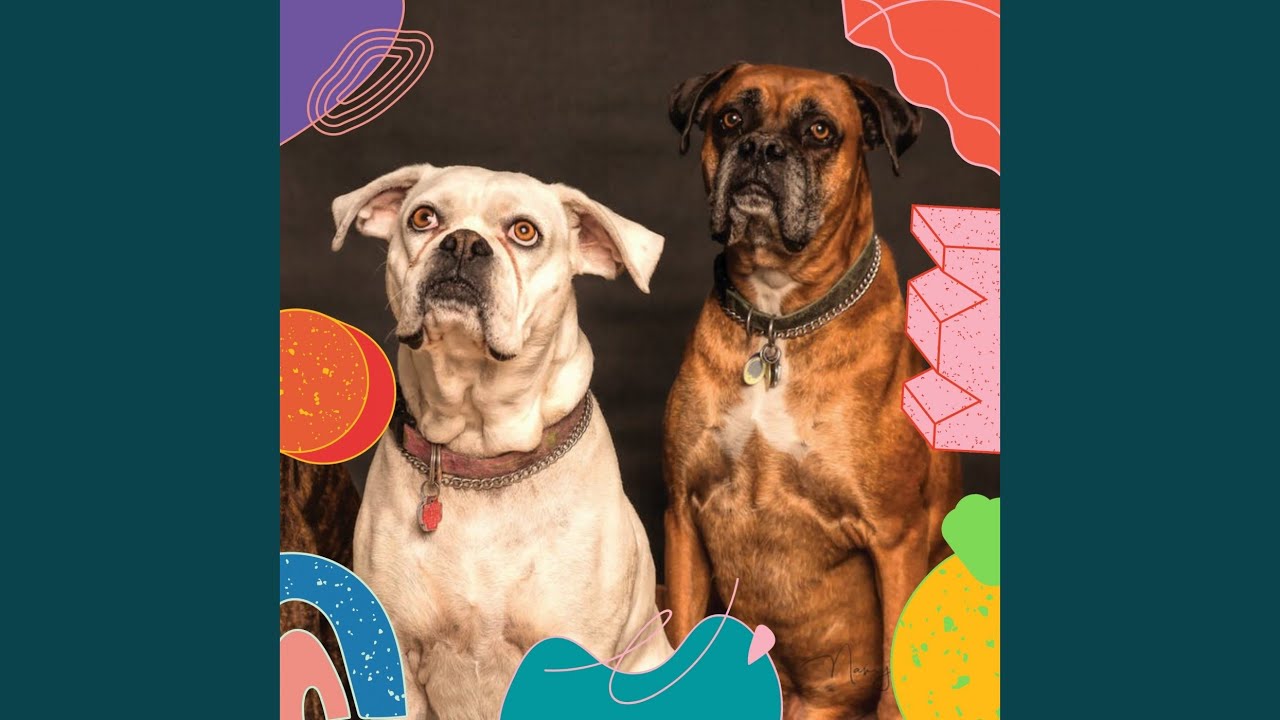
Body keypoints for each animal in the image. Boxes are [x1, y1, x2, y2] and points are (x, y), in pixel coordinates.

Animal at [660, 63, 963, 720]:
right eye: (730, 119)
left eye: (820, 130)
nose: (761, 148)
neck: (778, 320)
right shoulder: (682, 517)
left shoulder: (895, 539)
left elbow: (893, 690)